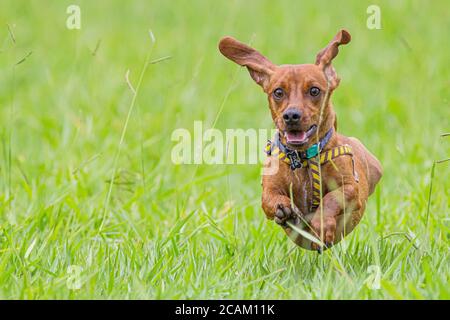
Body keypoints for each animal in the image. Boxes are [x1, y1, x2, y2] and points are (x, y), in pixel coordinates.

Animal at [220, 29, 382, 250]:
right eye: (278, 92)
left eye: (314, 90)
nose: (291, 116)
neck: (303, 159)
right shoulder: (268, 191)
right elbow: (270, 200)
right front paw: (284, 211)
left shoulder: (352, 188)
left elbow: (332, 198)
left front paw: (322, 226)